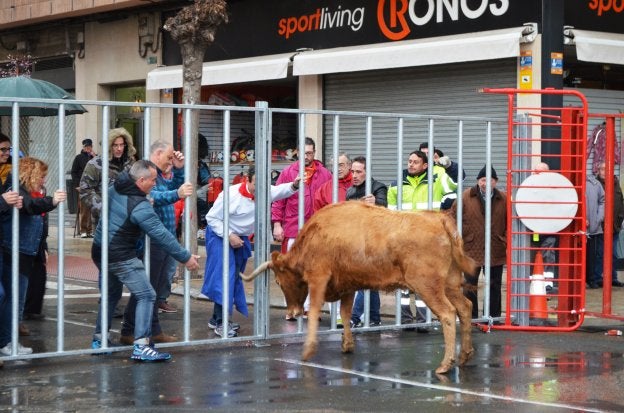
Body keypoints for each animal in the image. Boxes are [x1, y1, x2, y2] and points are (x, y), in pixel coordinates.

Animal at [241, 201, 476, 372]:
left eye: (278, 281)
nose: (294, 311)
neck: (314, 236)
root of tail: (439, 218)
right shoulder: (348, 285)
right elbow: (345, 314)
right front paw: (347, 344)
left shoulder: (319, 277)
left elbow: (316, 308)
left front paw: (308, 350)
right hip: (450, 284)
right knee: (465, 307)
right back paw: (464, 356)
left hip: (428, 285)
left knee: (448, 313)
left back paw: (445, 364)